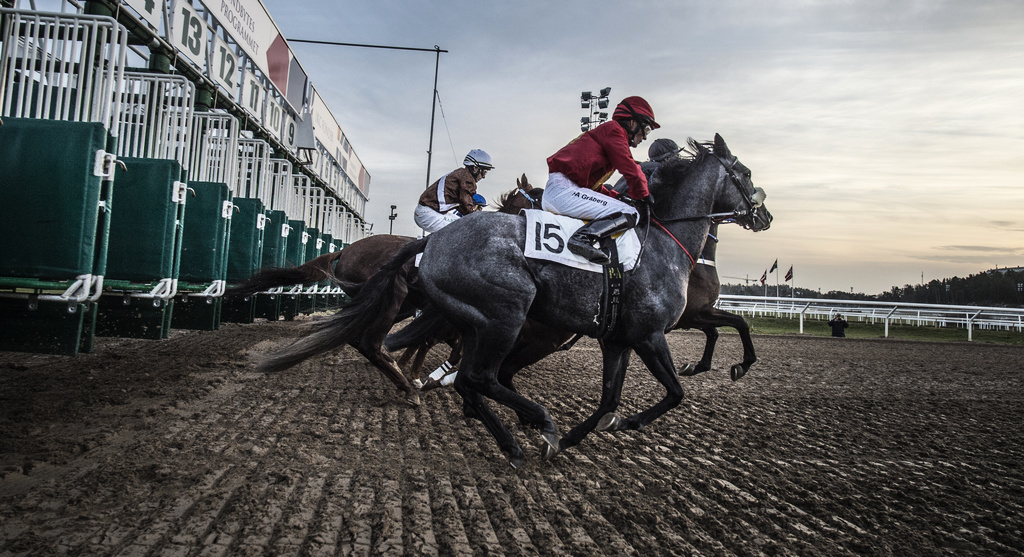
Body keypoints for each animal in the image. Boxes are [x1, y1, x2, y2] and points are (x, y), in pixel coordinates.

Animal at [264, 136, 770, 470]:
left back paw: (492, 427)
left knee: (452, 369)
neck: (663, 243)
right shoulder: (649, 333)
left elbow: (610, 397)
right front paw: (622, 423)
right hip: (502, 314)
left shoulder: (619, 339)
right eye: (745, 174)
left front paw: (581, 434)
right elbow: (674, 392)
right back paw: (523, 419)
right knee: (468, 372)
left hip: (475, 320)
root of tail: (435, 241)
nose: (763, 215)